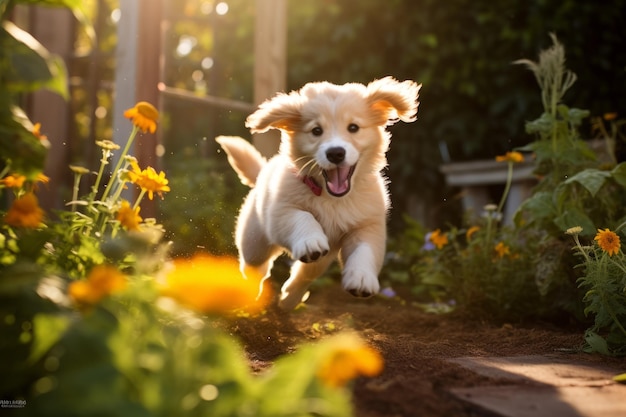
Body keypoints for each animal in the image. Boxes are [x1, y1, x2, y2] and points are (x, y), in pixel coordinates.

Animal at [214, 75, 420, 308]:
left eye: (353, 127)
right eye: (316, 131)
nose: (336, 153)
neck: (333, 199)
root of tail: (262, 173)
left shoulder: (368, 224)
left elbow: (365, 249)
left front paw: (361, 277)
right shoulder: (280, 212)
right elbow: (303, 217)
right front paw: (309, 240)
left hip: (324, 255)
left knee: (307, 273)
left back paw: (289, 300)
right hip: (254, 240)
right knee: (255, 268)